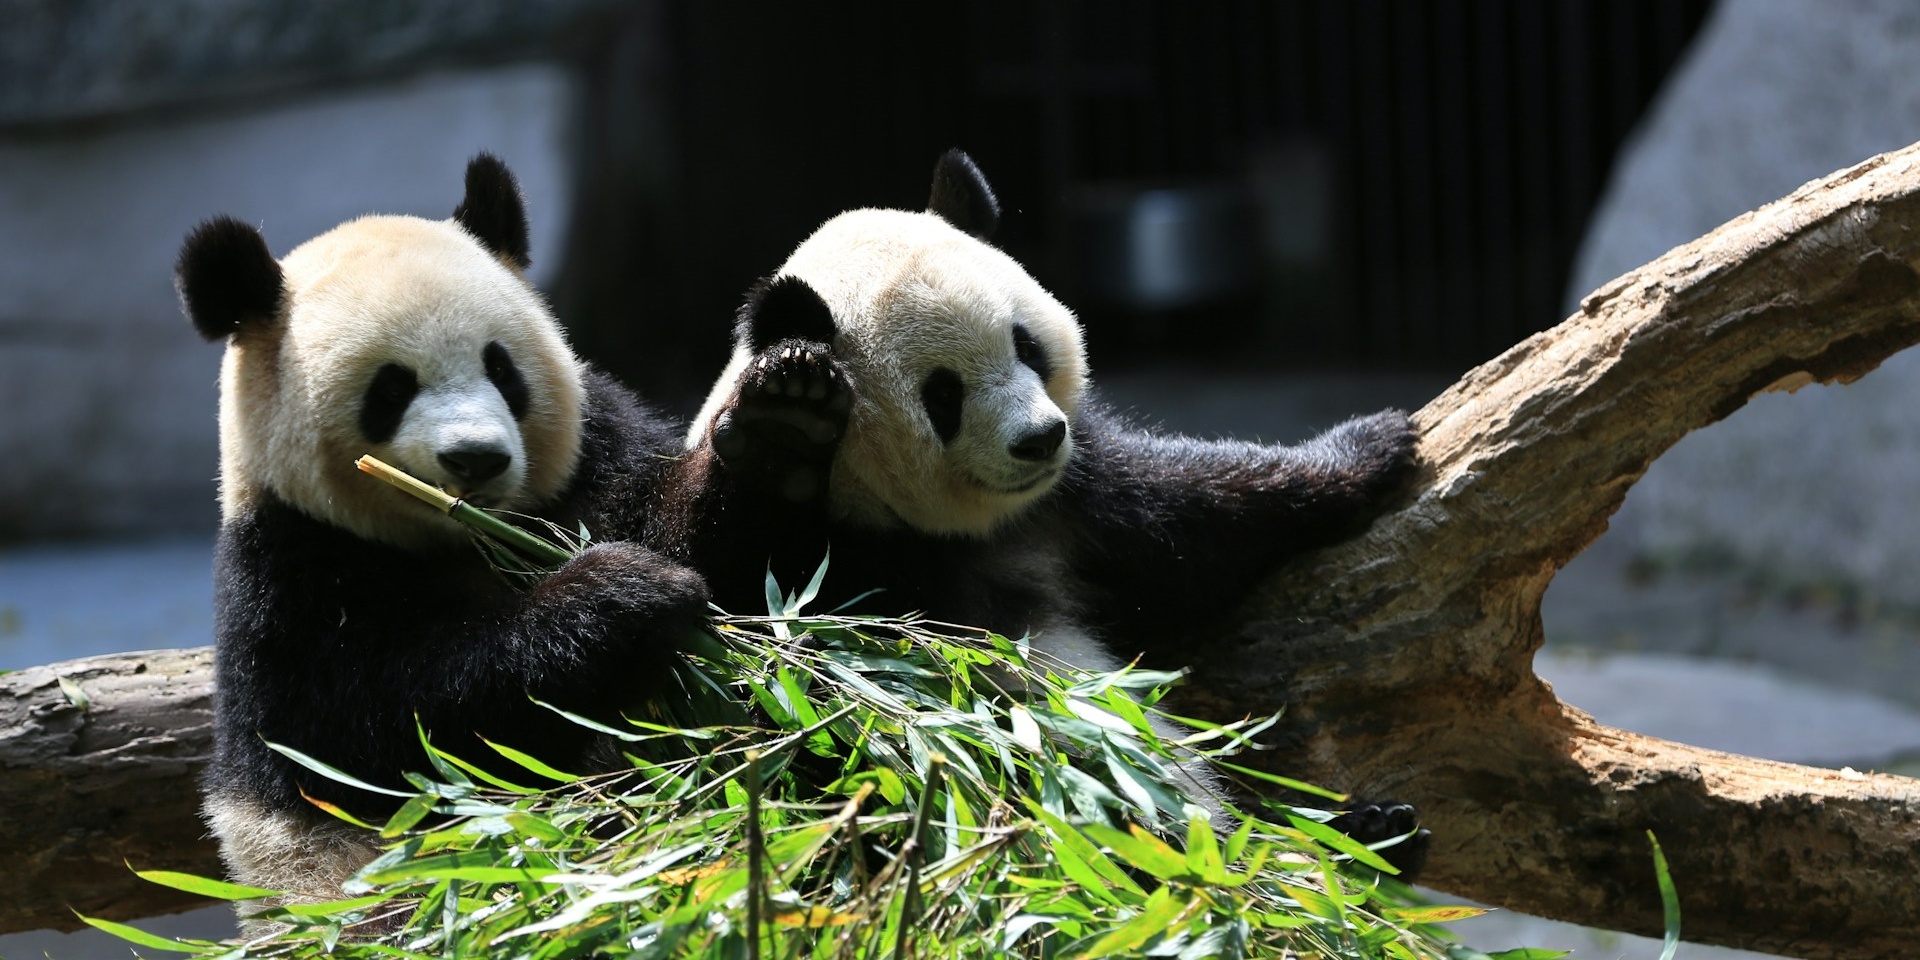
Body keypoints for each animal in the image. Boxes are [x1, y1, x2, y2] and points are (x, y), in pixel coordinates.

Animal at [176, 153, 706, 925]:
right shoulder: (290, 579)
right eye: (390, 388)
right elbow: (406, 728)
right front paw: (621, 595)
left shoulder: (595, 464)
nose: (476, 459)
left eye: (502, 368)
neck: (466, 536)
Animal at [660, 149, 1428, 871]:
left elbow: (1200, 519)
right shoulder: (828, 564)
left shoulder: (1073, 505)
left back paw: (1375, 833)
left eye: (1024, 345)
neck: (940, 527)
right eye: (943, 395)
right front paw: (783, 428)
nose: (1039, 438)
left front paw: (1372, 443)